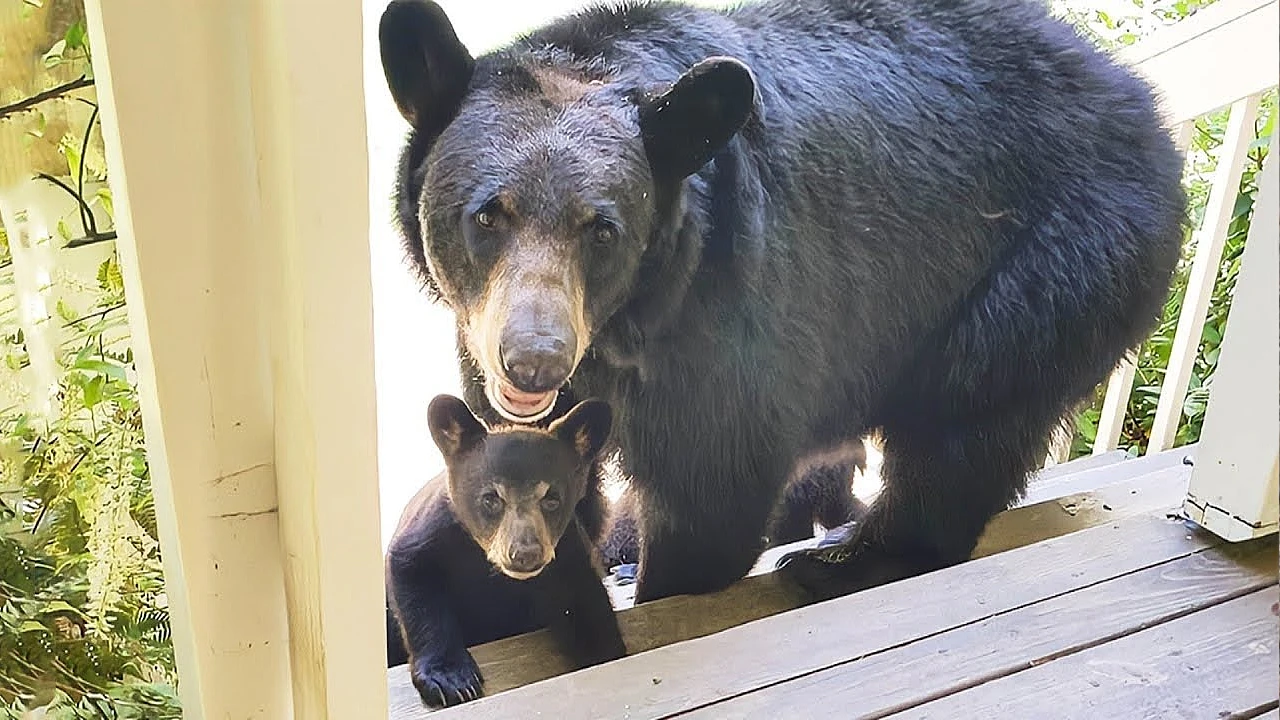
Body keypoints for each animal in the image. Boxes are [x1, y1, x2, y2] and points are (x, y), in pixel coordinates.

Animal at [373, 0, 1182, 602]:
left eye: (602, 230)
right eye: (486, 215)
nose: (534, 361)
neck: (628, 321)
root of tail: (1145, 108)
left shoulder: (728, 308)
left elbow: (713, 481)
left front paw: (665, 581)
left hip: (1055, 264)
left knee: (963, 424)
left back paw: (846, 560)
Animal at [386, 397, 627, 707]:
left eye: (552, 498)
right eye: (491, 498)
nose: (525, 553)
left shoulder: (567, 552)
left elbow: (584, 597)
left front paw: (606, 651)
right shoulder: (432, 533)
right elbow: (414, 577)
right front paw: (451, 681)